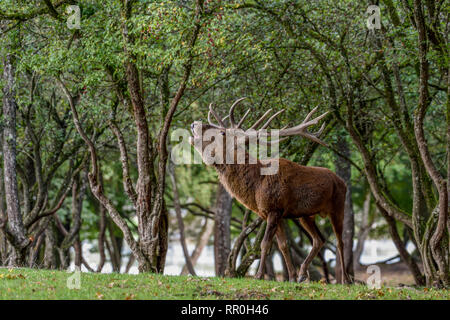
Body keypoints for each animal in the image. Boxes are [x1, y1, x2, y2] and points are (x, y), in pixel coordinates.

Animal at [188, 97, 350, 282]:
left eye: (222, 133)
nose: (194, 123)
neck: (257, 186)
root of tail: (342, 182)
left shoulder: (274, 209)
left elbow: (265, 244)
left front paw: (258, 275)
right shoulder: (271, 213)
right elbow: (283, 244)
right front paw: (292, 277)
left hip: (338, 207)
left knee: (340, 241)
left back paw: (345, 280)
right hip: (306, 215)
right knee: (319, 240)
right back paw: (302, 274)